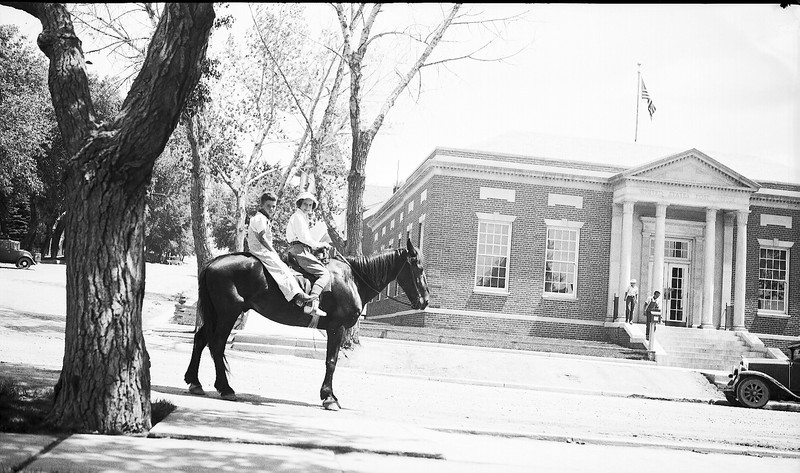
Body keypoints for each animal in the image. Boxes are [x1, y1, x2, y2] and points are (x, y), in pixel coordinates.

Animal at [184, 240, 428, 410]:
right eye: (419, 267)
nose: (425, 300)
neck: (352, 279)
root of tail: (213, 263)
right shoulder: (337, 328)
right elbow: (331, 361)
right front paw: (329, 397)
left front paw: (329, 395)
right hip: (228, 313)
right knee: (216, 344)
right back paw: (225, 388)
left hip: (217, 314)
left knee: (201, 339)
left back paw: (195, 382)